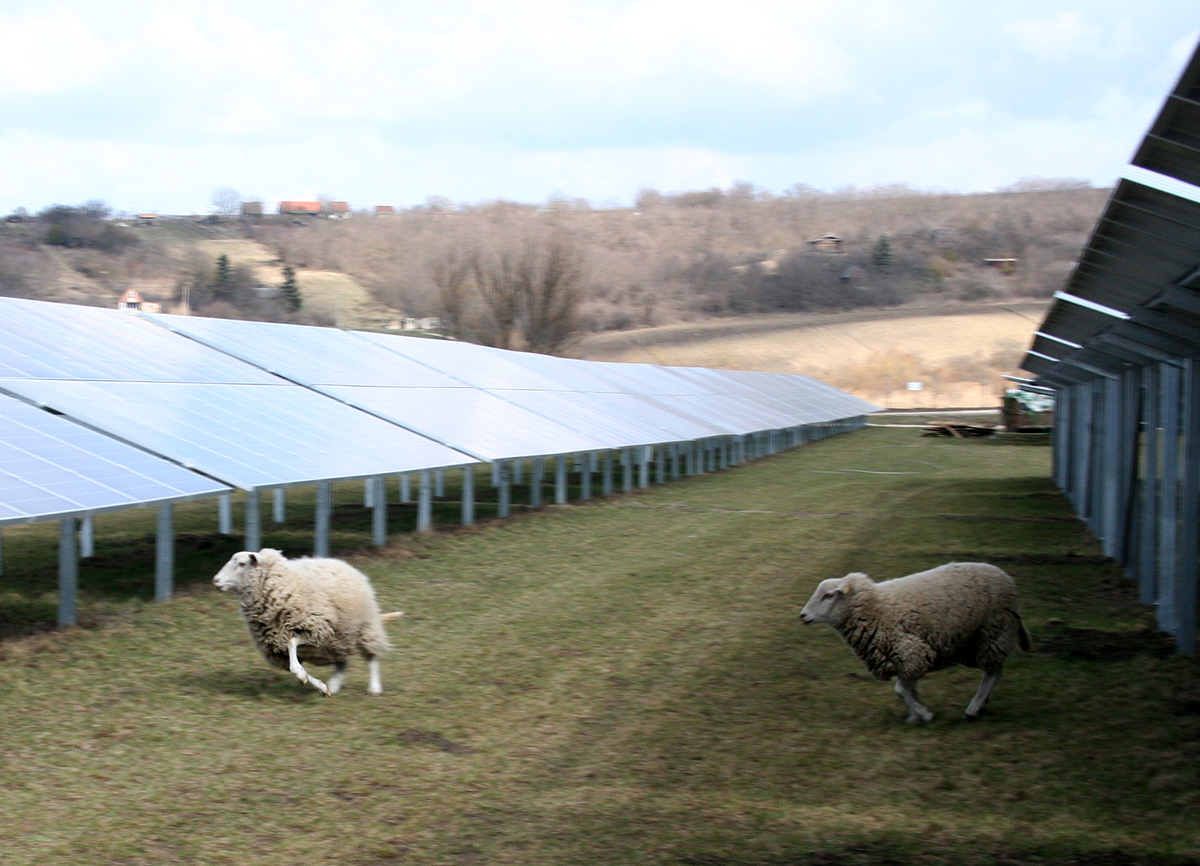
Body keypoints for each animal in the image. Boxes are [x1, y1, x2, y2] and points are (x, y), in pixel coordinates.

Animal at [213, 546, 405, 695]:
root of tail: (345, 564)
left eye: (241, 564)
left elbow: (292, 646)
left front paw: (305, 677)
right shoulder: (279, 650)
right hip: (339, 638)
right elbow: (294, 665)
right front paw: (321, 687)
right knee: (342, 661)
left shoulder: (316, 630)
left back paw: (374, 688)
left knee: (371, 656)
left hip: (364, 626)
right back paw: (334, 685)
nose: (216, 580)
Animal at [796, 556, 1032, 719]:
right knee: (991, 673)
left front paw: (924, 714)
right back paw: (981, 705)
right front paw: (915, 716)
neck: (875, 607)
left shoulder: (910, 650)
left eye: (828, 596)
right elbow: (909, 689)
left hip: (993, 632)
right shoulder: (902, 657)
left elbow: (901, 690)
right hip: (975, 642)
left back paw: (973, 709)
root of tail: (1006, 577)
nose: (803, 616)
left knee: (993, 674)